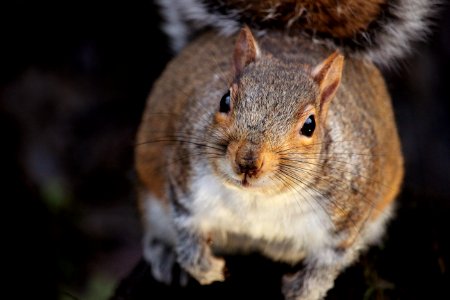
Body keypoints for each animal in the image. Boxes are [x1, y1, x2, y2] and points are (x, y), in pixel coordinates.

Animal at [135, 1, 434, 298]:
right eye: (224, 100)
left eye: (310, 125)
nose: (247, 161)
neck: (258, 199)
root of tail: (292, 34)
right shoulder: (185, 181)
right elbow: (187, 230)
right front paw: (205, 268)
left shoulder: (347, 218)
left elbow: (329, 262)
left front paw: (303, 290)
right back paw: (165, 254)